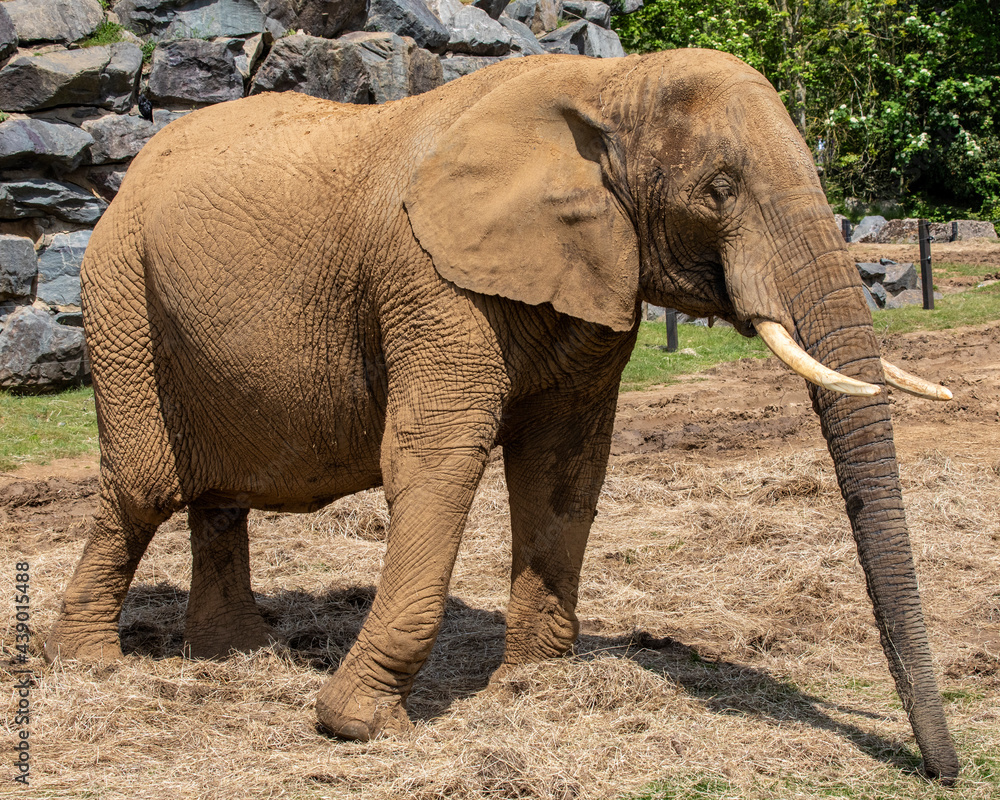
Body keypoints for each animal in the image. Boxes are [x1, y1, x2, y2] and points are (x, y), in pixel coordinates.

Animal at [46, 48, 959, 781]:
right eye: (719, 190)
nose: (942, 771)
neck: (608, 84)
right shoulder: (428, 278)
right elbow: (435, 458)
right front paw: (358, 727)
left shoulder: (596, 277)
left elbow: (564, 467)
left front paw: (532, 689)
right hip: (118, 289)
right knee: (143, 487)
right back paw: (92, 666)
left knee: (218, 494)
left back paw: (235, 654)